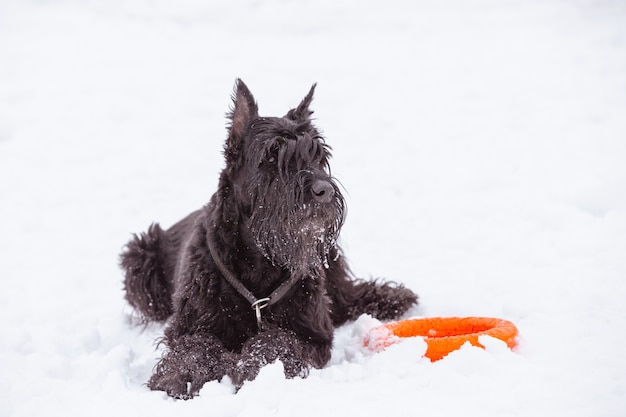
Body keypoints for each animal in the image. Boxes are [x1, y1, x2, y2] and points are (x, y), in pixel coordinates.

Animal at [119, 79, 416, 398]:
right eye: (271, 156)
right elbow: (195, 346)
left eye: (319, 156)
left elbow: (278, 340)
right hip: (140, 255)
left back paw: (392, 298)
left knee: (346, 296)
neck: (259, 260)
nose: (323, 190)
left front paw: (257, 367)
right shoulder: (189, 326)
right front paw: (181, 375)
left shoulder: (311, 334)